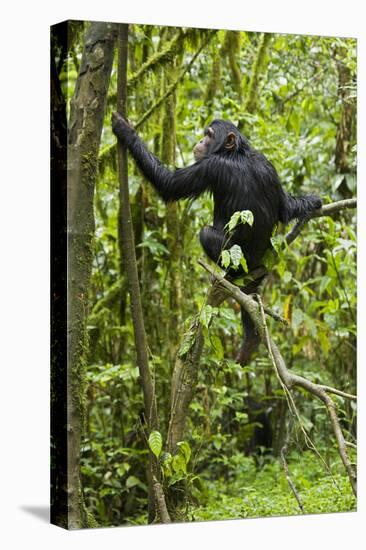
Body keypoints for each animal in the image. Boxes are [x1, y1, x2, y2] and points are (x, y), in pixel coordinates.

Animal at [112, 115, 324, 366]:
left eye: (210, 135)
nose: (201, 140)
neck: (236, 153)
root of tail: (256, 264)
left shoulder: (211, 166)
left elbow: (169, 184)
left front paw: (125, 131)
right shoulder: (268, 166)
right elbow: (285, 207)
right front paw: (313, 201)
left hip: (241, 260)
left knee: (205, 233)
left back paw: (229, 276)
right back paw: (251, 341)